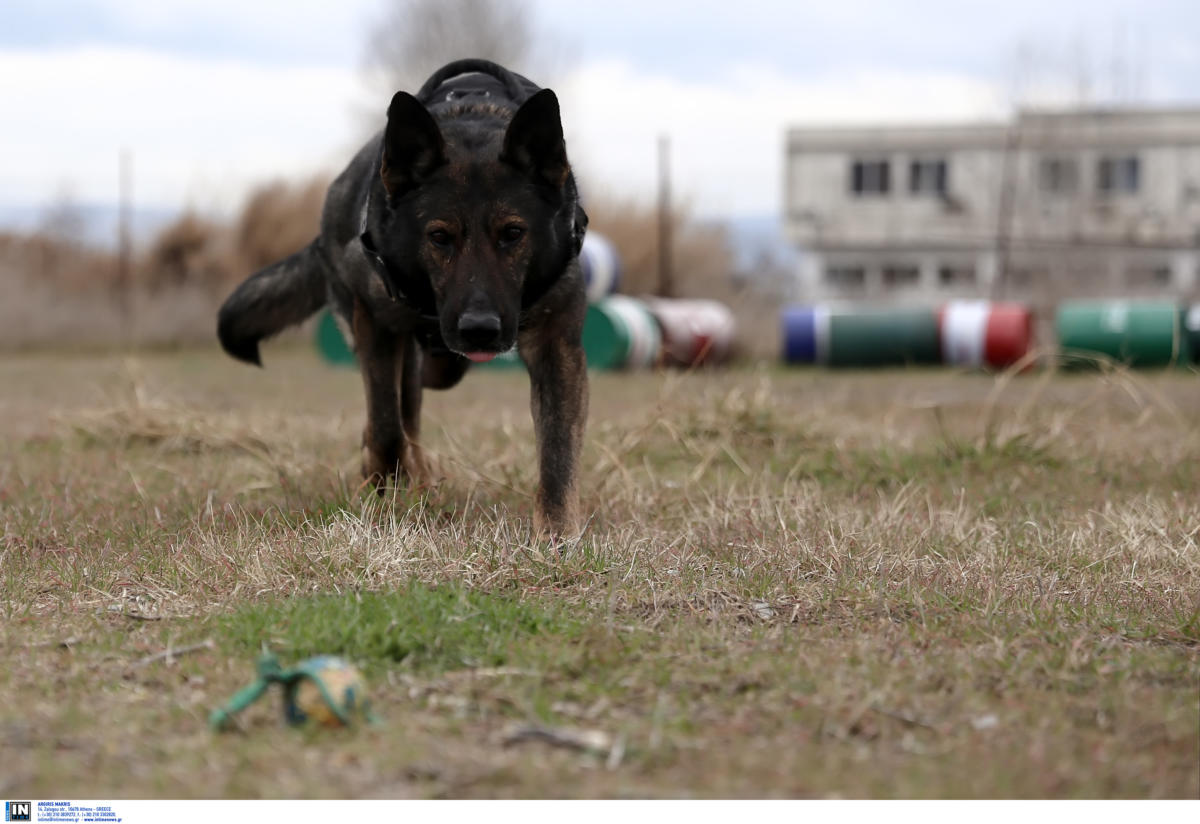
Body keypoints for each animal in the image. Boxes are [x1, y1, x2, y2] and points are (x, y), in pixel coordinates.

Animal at [219, 58, 590, 534]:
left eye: (512, 233)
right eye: (439, 237)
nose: (480, 331)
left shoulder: (556, 347)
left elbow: (558, 453)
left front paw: (557, 536)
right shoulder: (376, 325)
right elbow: (385, 426)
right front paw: (383, 491)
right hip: (399, 348)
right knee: (400, 415)